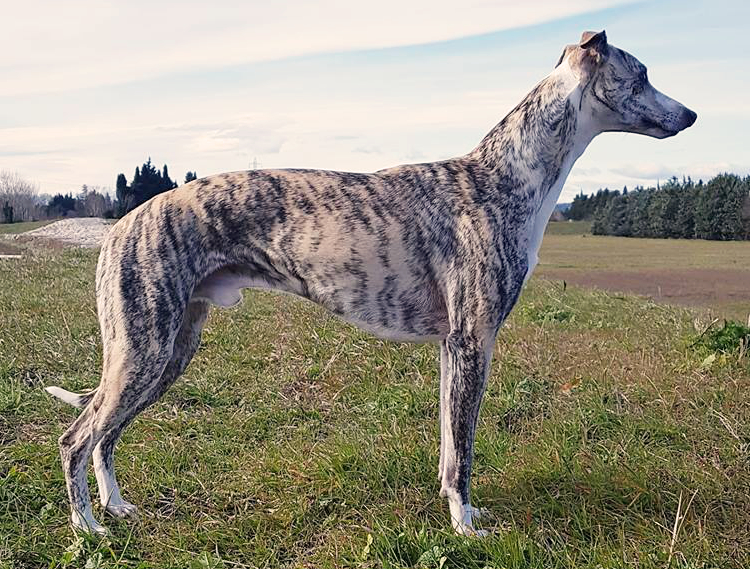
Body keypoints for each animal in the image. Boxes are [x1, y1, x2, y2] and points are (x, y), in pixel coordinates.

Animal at [45, 31, 692, 536]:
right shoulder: (473, 341)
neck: (503, 178)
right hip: (144, 349)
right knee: (78, 437)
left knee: (104, 437)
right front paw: (466, 527)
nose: (691, 116)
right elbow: (465, 452)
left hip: (168, 350)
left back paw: (118, 509)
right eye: (642, 74)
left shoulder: (451, 348)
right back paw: (89, 528)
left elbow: (448, 448)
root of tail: (120, 225)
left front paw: (457, 512)